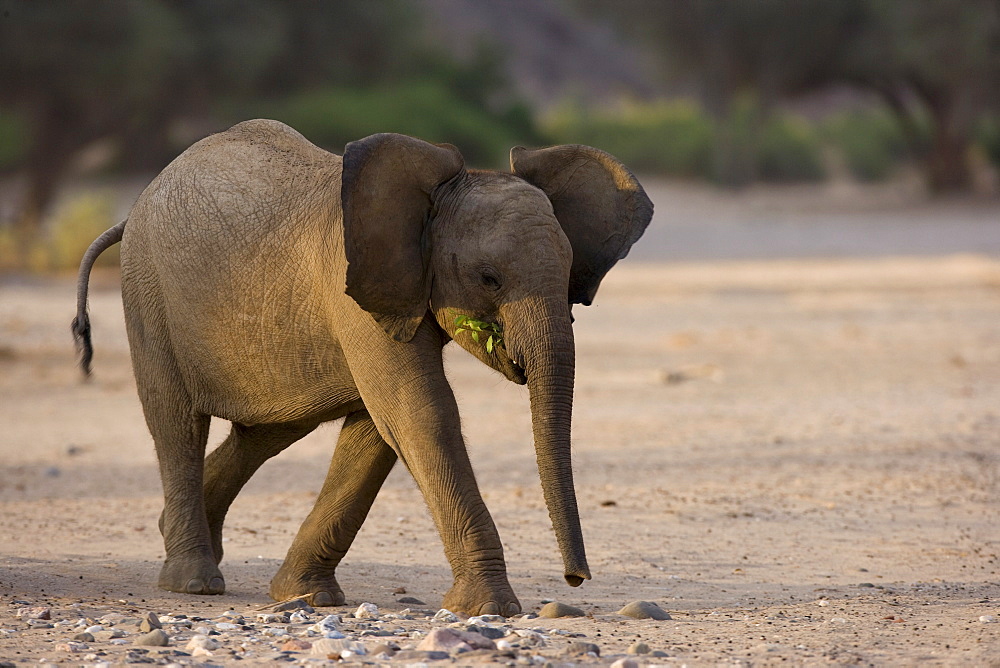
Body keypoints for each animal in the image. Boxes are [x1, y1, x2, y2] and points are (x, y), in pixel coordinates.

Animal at [70, 121, 652, 616]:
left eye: (571, 272)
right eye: (489, 278)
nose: (575, 580)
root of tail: (135, 208)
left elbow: (380, 428)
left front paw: (307, 597)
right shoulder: (352, 292)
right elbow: (419, 412)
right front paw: (492, 609)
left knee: (267, 430)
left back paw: (179, 536)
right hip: (147, 292)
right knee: (177, 423)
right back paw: (193, 581)